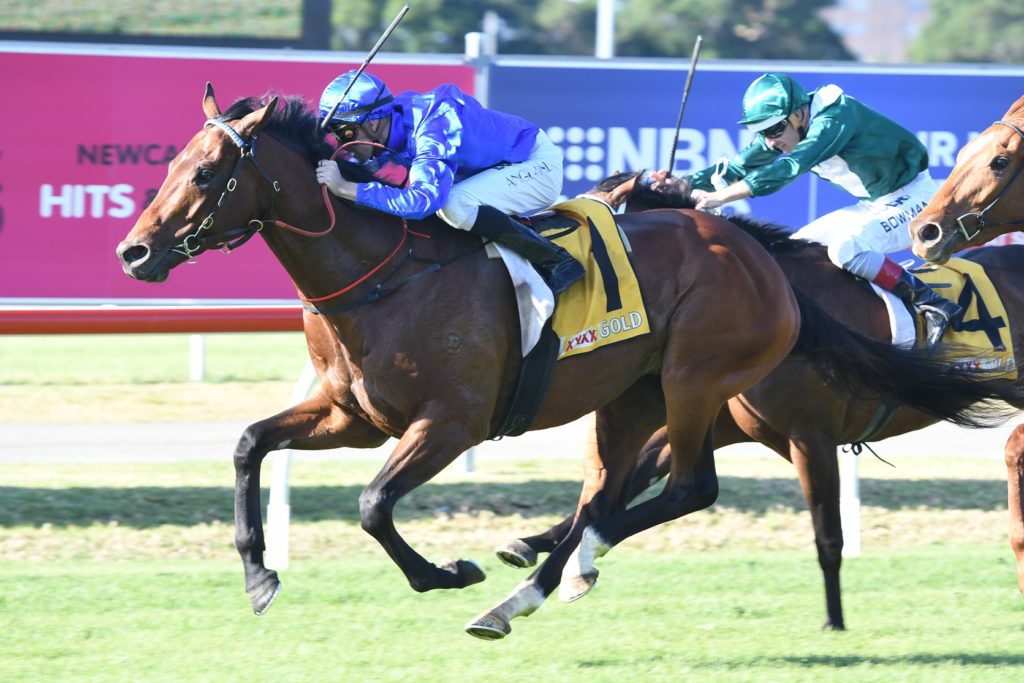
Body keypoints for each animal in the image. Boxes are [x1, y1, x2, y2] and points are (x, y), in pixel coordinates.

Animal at [493, 171, 1024, 632]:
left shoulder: (811, 437)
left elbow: (828, 535)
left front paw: (834, 620)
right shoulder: (711, 416)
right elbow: (615, 492)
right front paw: (531, 547)